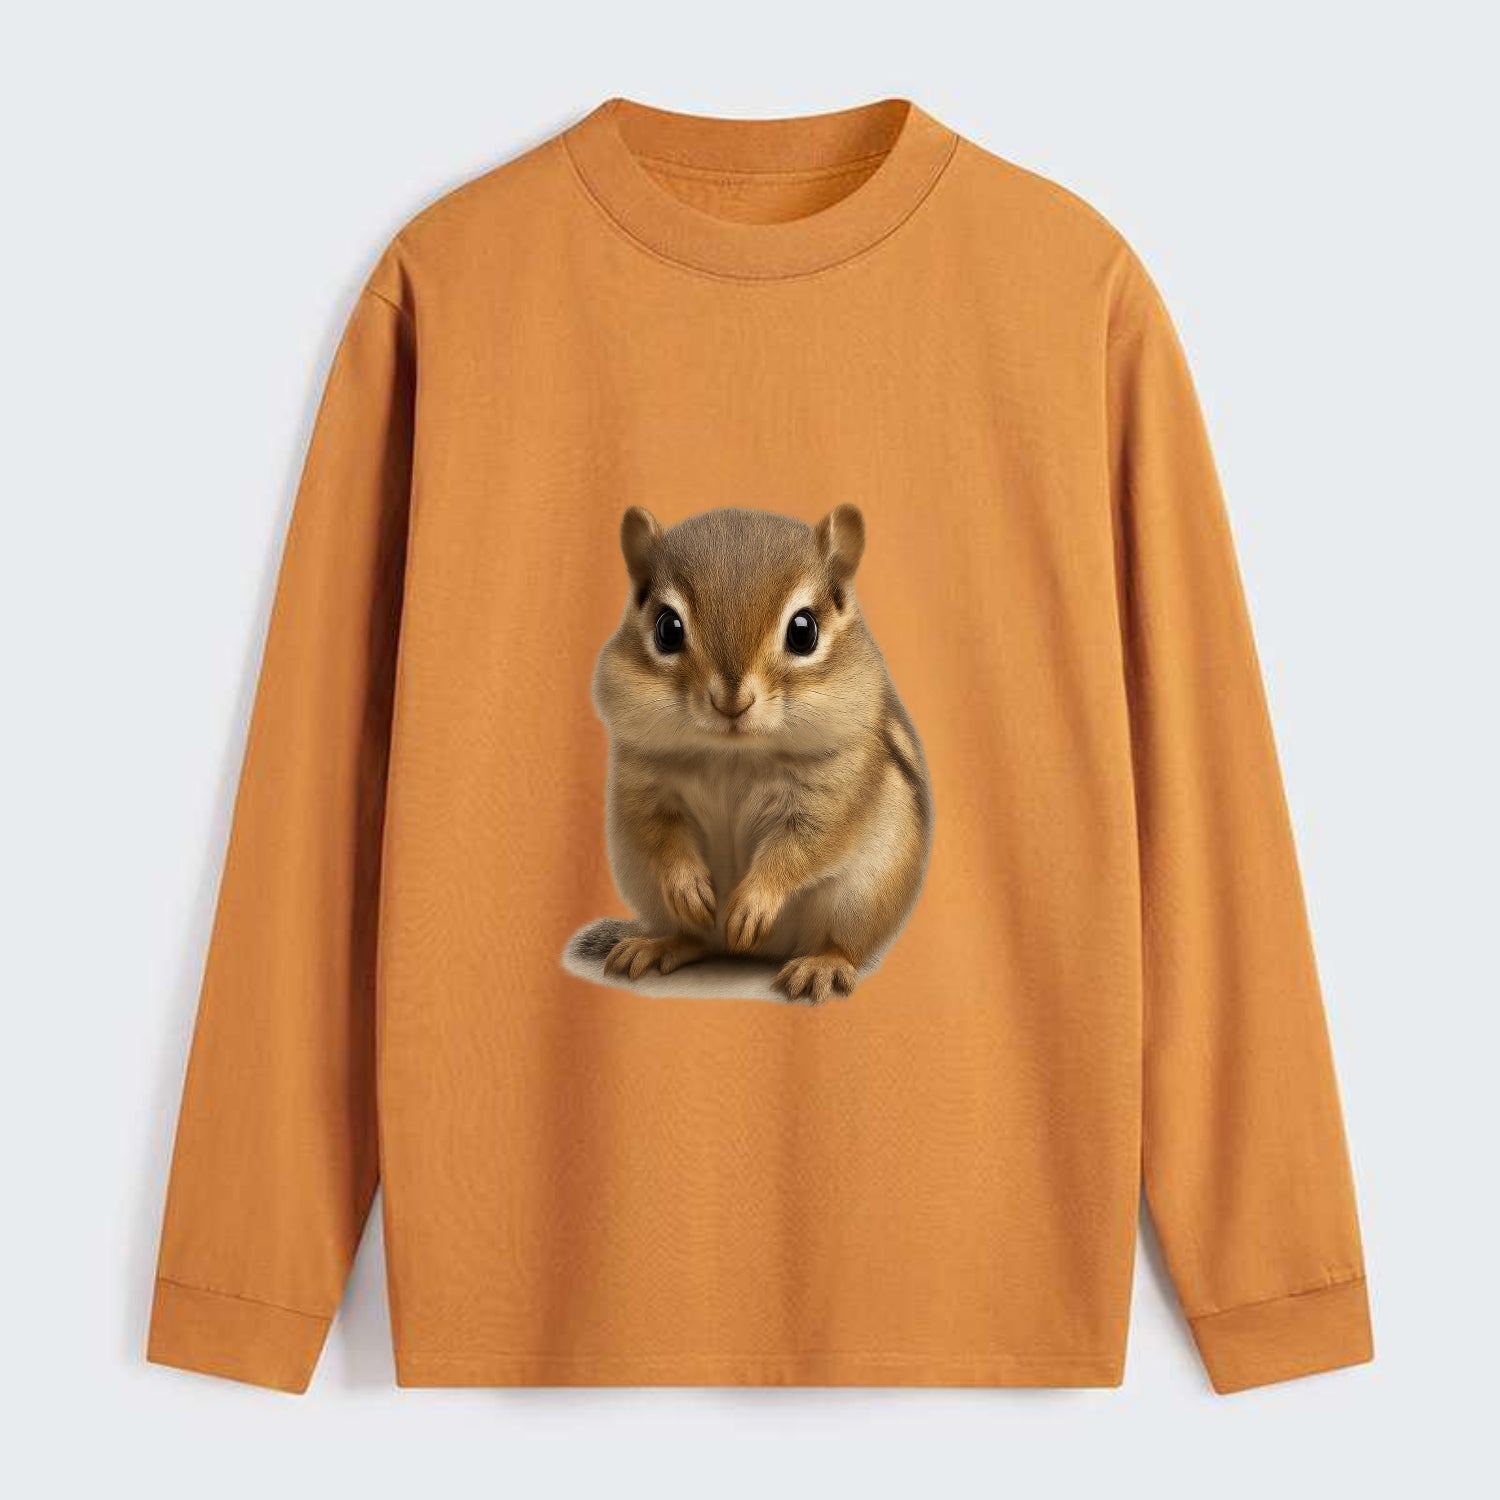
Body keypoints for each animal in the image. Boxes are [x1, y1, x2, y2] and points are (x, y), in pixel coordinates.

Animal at [568, 504, 933, 1004]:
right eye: (667, 629)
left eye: (803, 631)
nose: (731, 702)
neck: (733, 754)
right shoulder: (644, 786)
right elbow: (659, 832)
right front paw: (689, 885)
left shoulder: (830, 795)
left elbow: (802, 847)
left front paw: (753, 903)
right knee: (696, 938)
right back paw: (658, 945)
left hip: (862, 895)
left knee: (842, 945)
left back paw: (820, 964)